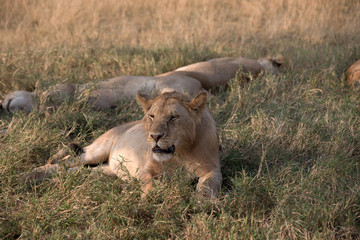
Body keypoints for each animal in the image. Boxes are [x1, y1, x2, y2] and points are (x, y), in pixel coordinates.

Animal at [23, 91, 222, 198]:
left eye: (173, 117)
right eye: (152, 116)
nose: (154, 136)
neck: (181, 152)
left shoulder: (213, 169)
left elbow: (208, 185)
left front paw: (203, 202)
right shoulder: (146, 169)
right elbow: (148, 182)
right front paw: (151, 196)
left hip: (104, 170)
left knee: (76, 171)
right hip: (97, 150)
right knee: (64, 163)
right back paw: (31, 175)